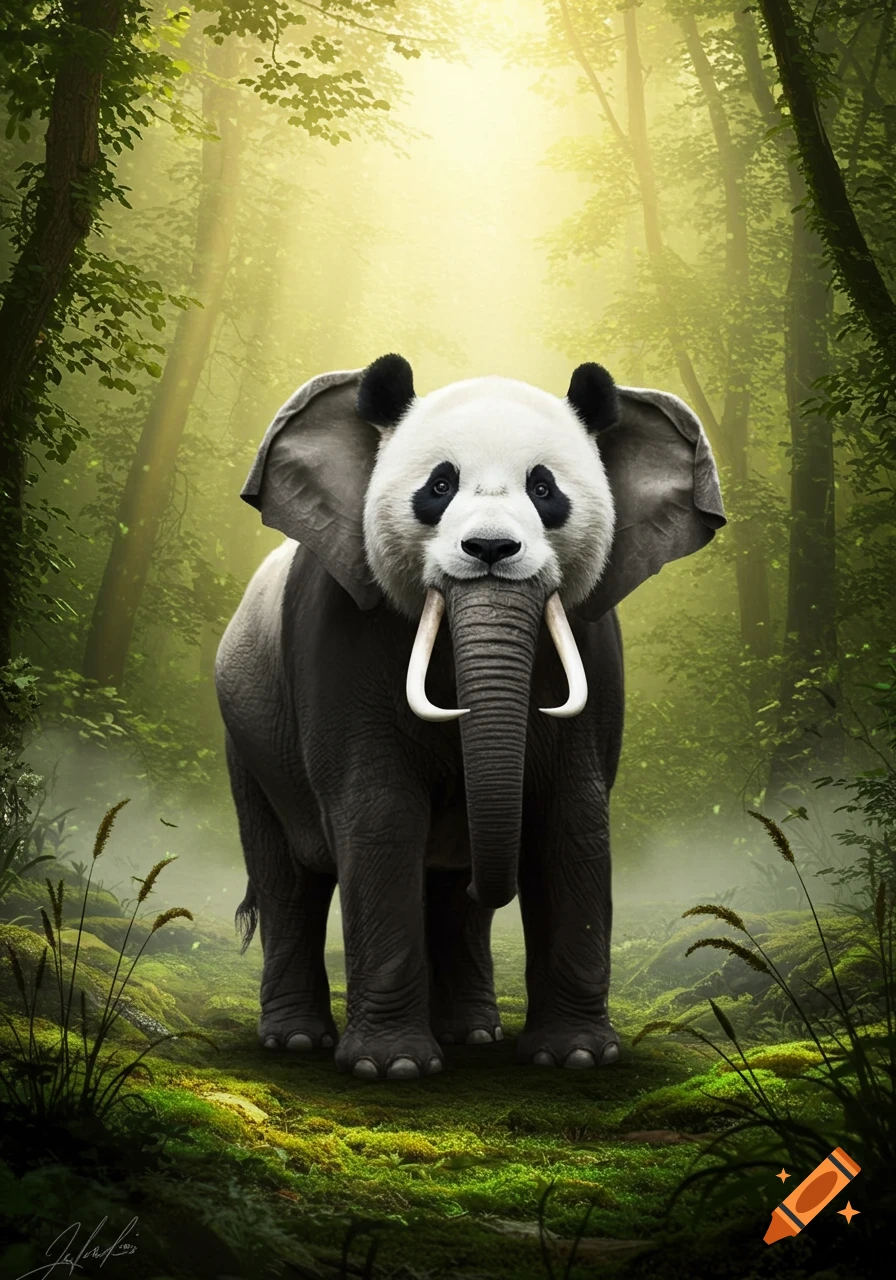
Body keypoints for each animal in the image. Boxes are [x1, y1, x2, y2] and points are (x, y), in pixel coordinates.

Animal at [215, 355, 725, 1080]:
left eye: (544, 488)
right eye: (439, 485)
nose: (489, 549)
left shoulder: (594, 647)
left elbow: (571, 815)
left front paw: (575, 1056)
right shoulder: (338, 637)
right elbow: (378, 812)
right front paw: (392, 1069)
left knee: (453, 894)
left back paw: (472, 1034)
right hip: (250, 734)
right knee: (288, 876)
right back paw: (297, 1041)